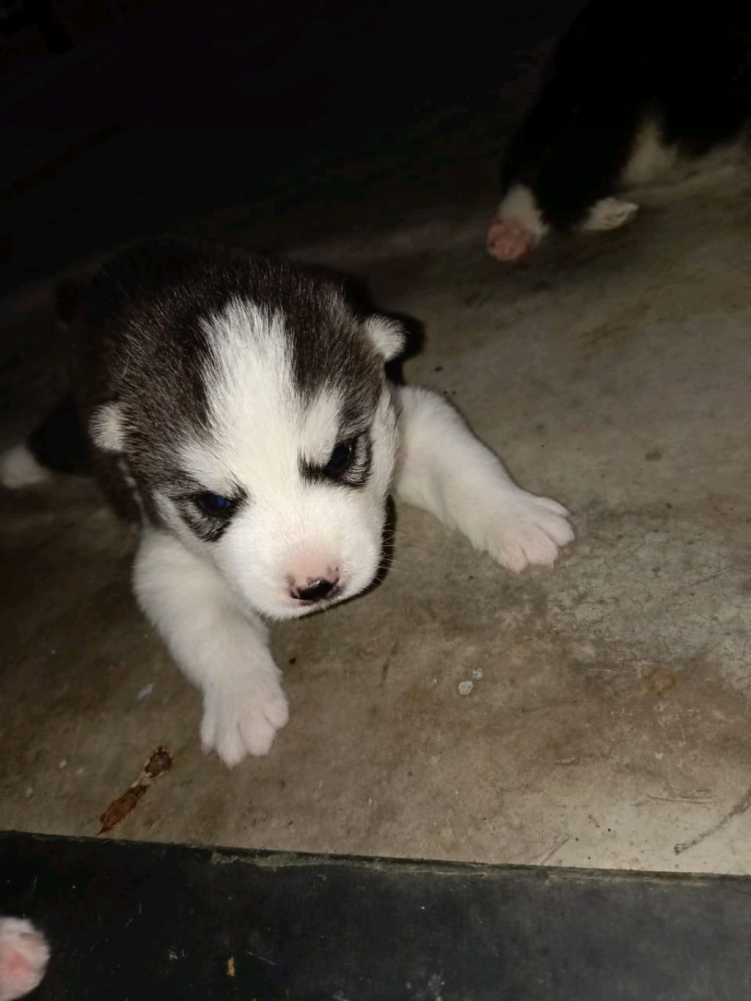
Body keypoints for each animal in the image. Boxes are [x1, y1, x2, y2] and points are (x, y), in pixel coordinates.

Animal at [0, 238, 574, 766]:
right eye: (214, 502)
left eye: (341, 455)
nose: (317, 584)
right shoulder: (165, 551)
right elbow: (211, 628)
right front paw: (240, 704)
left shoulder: (405, 417)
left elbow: (465, 467)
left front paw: (519, 518)